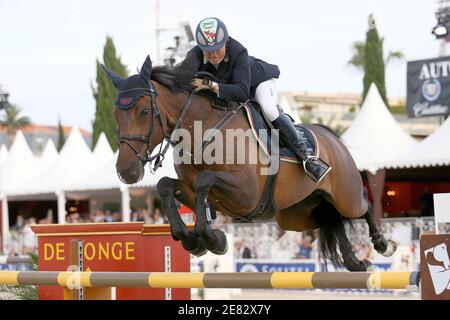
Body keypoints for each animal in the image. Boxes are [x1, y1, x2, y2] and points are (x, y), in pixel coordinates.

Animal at [103, 56, 398, 272]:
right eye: (115, 114)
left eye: (144, 111)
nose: (125, 171)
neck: (203, 129)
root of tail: (334, 138)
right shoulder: (190, 187)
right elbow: (167, 185)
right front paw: (191, 239)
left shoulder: (246, 193)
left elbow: (205, 181)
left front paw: (213, 240)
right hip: (299, 214)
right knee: (332, 219)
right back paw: (354, 261)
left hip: (345, 194)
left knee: (363, 203)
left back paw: (384, 245)